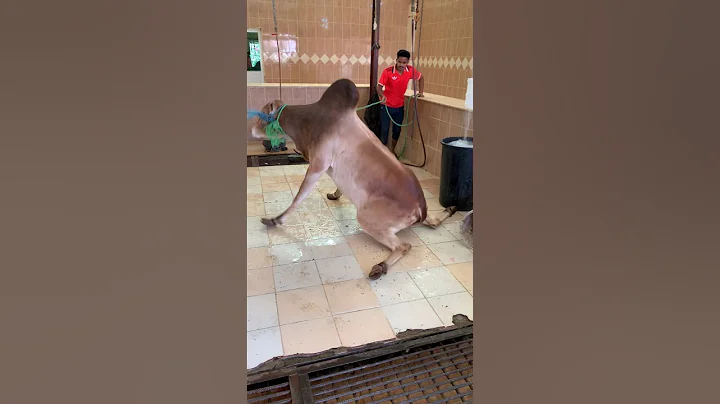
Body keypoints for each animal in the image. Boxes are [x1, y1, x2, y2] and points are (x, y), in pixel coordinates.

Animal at [250, 78, 457, 280]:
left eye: (263, 113)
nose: (252, 129)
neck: (310, 121)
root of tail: (420, 207)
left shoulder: (318, 164)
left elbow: (298, 198)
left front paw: (275, 219)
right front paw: (334, 195)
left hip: (365, 218)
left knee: (404, 246)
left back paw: (380, 267)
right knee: (433, 223)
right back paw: (450, 209)